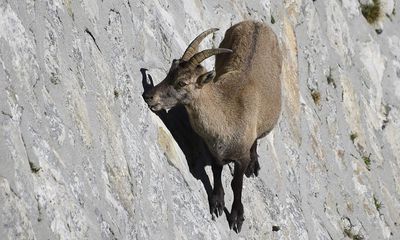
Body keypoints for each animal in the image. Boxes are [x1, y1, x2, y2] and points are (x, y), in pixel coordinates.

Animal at [143, 20, 282, 232]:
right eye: (169, 72)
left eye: (182, 83)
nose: (149, 96)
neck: (226, 114)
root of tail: (257, 23)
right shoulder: (214, 149)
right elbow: (217, 171)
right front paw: (217, 202)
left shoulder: (240, 156)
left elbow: (236, 184)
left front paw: (236, 217)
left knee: (257, 139)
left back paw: (254, 164)